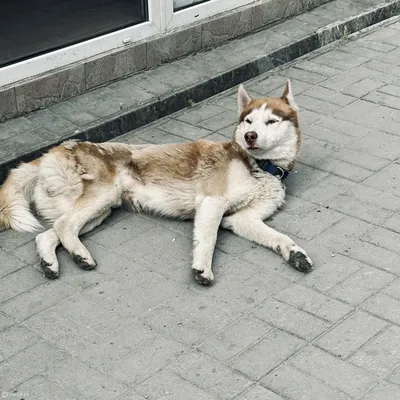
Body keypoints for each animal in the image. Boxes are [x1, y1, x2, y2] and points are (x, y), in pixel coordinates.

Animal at [0, 80, 312, 284]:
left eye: (271, 121)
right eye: (248, 121)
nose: (250, 136)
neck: (260, 167)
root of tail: (49, 152)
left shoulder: (242, 219)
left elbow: (278, 237)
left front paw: (295, 254)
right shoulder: (211, 202)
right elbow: (208, 239)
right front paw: (202, 268)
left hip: (98, 211)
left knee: (50, 233)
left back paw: (52, 263)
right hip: (103, 196)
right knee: (64, 227)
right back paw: (80, 255)